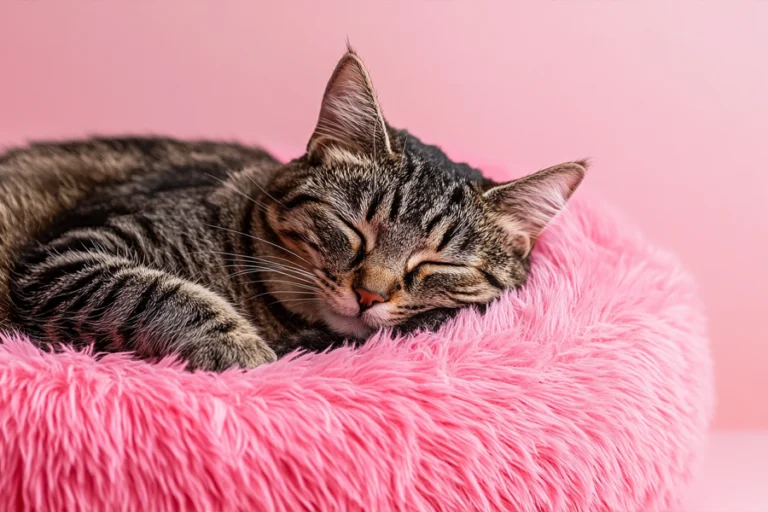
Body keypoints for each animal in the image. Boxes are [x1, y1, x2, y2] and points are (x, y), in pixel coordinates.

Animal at [1, 48, 588, 370]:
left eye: (438, 264)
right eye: (353, 229)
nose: (370, 295)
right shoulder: (66, 257)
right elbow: (154, 291)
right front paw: (243, 351)